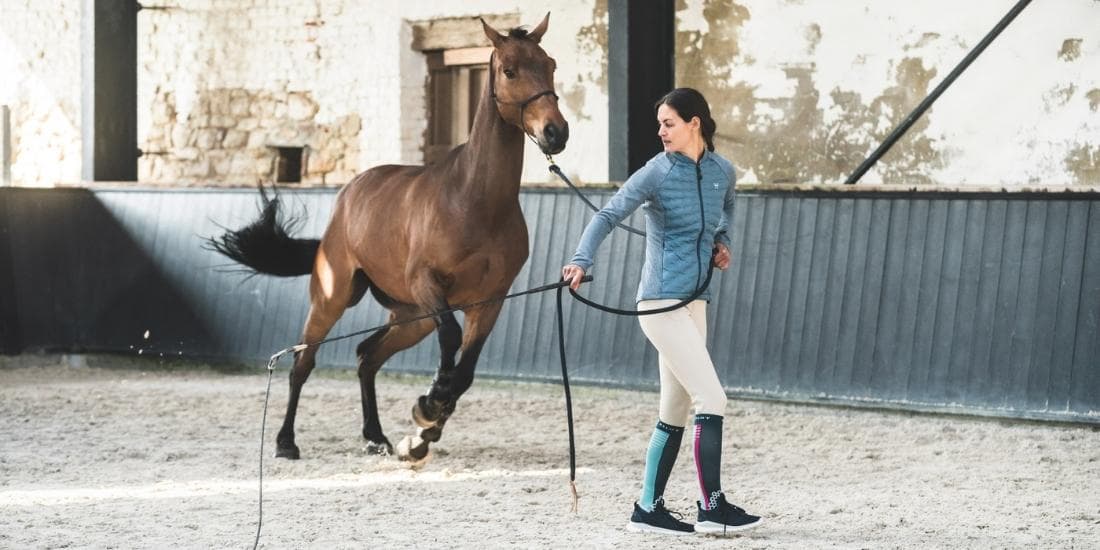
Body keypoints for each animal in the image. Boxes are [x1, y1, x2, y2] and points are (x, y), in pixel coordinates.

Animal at [210, 15, 567, 459]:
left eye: (550, 64)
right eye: (509, 70)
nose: (556, 133)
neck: (474, 200)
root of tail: (348, 195)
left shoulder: (490, 301)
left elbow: (465, 369)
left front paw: (430, 418)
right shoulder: (428, 285)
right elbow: (451, 342)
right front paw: (433, 400)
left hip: (413, 318)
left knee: (368, 357)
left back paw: (375, 436)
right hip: (333, 300)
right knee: (303, 362)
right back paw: (286, 442)